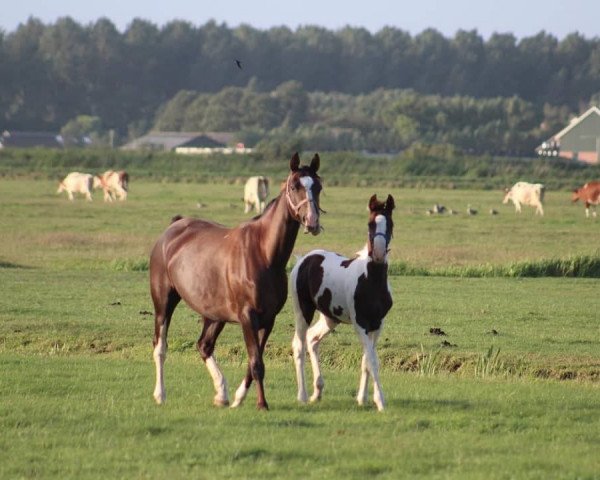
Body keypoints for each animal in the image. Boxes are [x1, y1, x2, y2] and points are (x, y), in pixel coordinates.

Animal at [150, 153, 324, 408]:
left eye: (318, 186)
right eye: (294, 186)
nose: (312, 221)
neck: (263, 253)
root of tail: (173, 228)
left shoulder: (268, 320)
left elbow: (254, 362)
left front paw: (239, 398)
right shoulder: (247, 317)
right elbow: (257, 363)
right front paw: (262, 404)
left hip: (214, 315)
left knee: (204, 346)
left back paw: (221, 394)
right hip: (164, 304)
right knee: (161, 347)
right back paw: (160, 394)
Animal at [290, 193, 394, 410]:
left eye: (390, 223)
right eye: (370, 223)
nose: (379, 254)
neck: (371, 281)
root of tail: (303, 259)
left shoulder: (377, 325)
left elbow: (367, 361)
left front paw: (362, 398)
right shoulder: (360, 324)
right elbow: (373, 361)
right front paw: (380, 401)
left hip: (330, 318)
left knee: (312, 339)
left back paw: (317, 392)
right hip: (302, 311)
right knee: (299, 345)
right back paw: (303, 396)